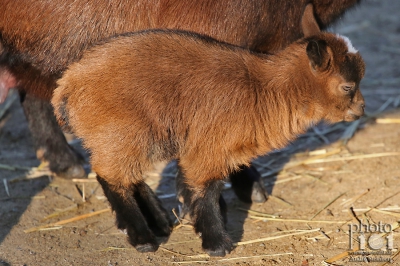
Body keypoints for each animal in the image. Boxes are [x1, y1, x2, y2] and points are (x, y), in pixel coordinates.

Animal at [51, 29, 364, 256]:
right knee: (111, 177)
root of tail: (67, 86)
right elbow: (206, 192)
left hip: (131, 137)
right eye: (348, 86)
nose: (361, 109)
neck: (265, 90)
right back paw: (143, 237)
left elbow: (194, 188)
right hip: (122, 132)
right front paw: (217, 244)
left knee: (127, 175)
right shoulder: (210, 148)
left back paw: (160, 222)